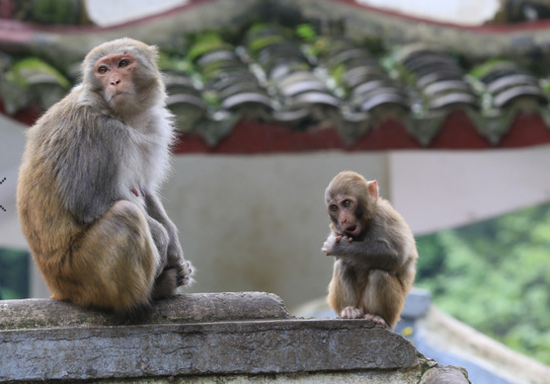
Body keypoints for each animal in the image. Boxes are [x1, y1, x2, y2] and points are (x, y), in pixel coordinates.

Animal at [17, 37, 195, 314]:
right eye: (103, 70)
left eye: (122, 63)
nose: (114, 81)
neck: (123, 117)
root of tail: (58, 290)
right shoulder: (96, 131)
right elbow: (86, 200)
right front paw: (162, 236)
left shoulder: (153, 127)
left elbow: (144, 188)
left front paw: (173, 242)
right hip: (80, 272)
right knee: (125, 214)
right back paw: (150, 293)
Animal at [324, 171, 418, 330]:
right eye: (334, 208)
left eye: (347, 203)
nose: (342, 220)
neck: (366, 224)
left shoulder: (383, 216)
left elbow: (397, 254)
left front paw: (338, 247)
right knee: (343, 264)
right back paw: (350, 310)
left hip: (395, 312)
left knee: (379, 274)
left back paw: (378, 317)